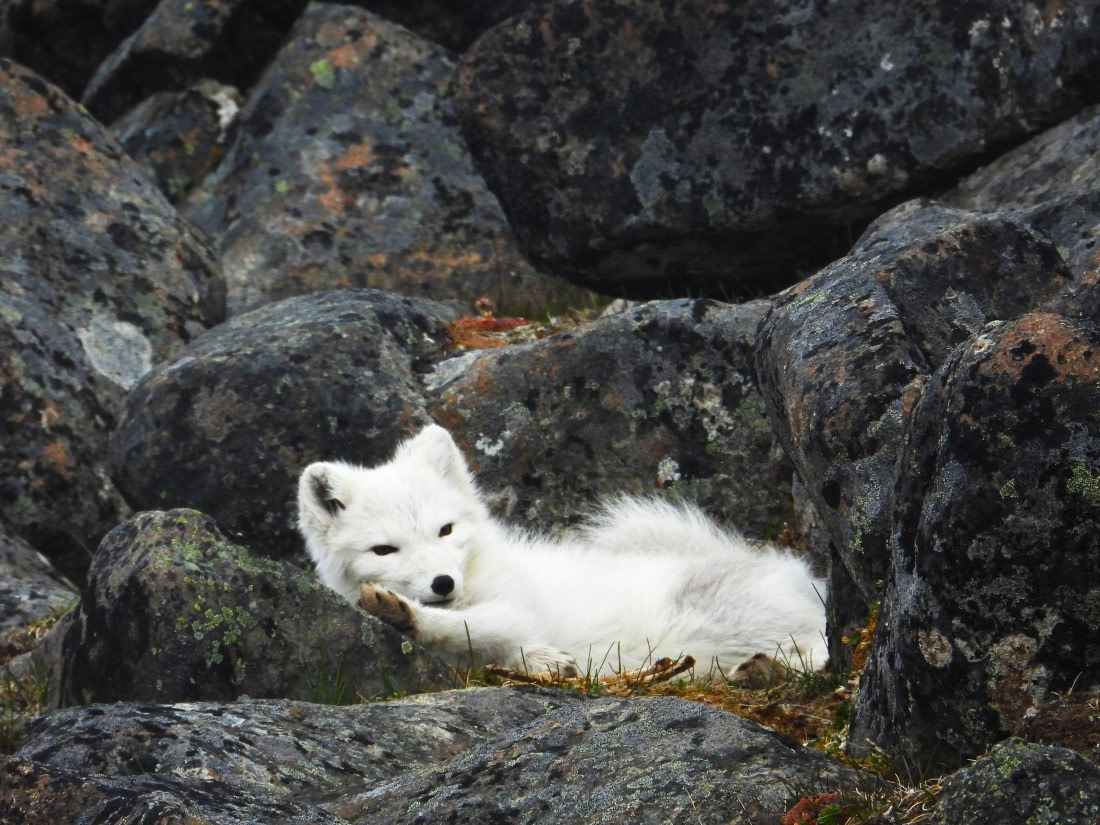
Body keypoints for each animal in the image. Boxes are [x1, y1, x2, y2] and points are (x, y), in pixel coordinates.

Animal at [297, 424, 828, 683]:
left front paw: (405, 614)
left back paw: (770, 669)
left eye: (445, 530)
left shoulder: (515, 609)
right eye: (385, 549)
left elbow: (474, 629)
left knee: (821, 650)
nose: (442, 584)